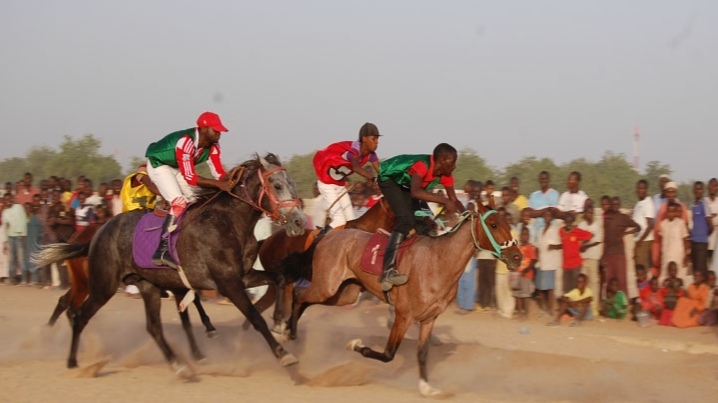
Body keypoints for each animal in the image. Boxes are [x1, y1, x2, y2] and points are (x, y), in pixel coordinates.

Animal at [34, 153, 304, 378]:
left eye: (292, 183)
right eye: (277, 185)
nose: (299, 222)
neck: (228, 222)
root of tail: (95, 235)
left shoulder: (242, 275)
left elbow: (278, 279)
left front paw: (280, 324)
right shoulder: (228, 283)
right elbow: (255, 318)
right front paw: (284, 355)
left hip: (147, 286)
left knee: (153, 327)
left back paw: (180, 366)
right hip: (102, 285)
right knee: (79, 315)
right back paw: (72, 362)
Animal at [292, 204, 524, 400]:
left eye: (508, 223)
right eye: (493, 224)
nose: (517, 257)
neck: (438, 262)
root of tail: (328, 235)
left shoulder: (429, 318)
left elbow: (422, 354)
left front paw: (427, 388)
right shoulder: (403, 316)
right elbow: (388, 354)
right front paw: (355, 344)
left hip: (344, 293)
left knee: (304, 298)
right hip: (327, 286)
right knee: (298, 293)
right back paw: (287, 335)